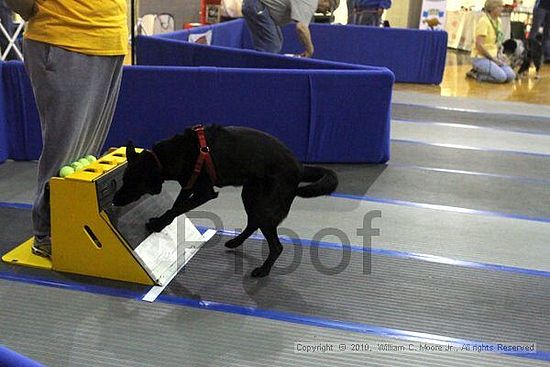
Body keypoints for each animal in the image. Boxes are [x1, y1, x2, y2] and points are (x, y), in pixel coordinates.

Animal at [112, 125, 338, 278]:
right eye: (123, 180)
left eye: (131, 183)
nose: (114, 200)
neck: (172, 155)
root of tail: (299, 167)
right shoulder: (188, 186)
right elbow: (176, 206)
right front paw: (161, 222)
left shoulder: (204, 192)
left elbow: (178, 208)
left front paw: (157, 224)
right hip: (250, 196)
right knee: (253, 222)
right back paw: (235, 242)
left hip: (265, 205)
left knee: (276, 245)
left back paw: (262, 271)